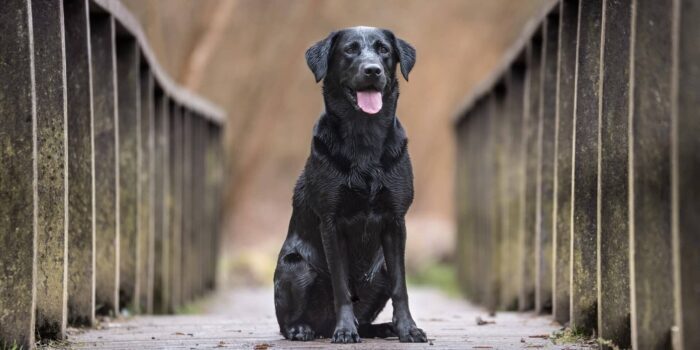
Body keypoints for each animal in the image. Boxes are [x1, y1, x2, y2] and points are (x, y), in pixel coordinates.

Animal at [274, 26, 426, 344]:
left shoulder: (396, 221)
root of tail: (321, 327)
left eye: (383, 50)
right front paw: (344, 331)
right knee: (286, 323)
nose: (372, 70)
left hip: (380, 269)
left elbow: (401, 287)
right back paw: (302, 329)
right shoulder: (331, 223)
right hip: (295, 265)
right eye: (350, 50)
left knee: (366, 316)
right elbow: (341, 287)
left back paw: (383, 328)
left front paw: (408, 328)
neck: (364, 136)